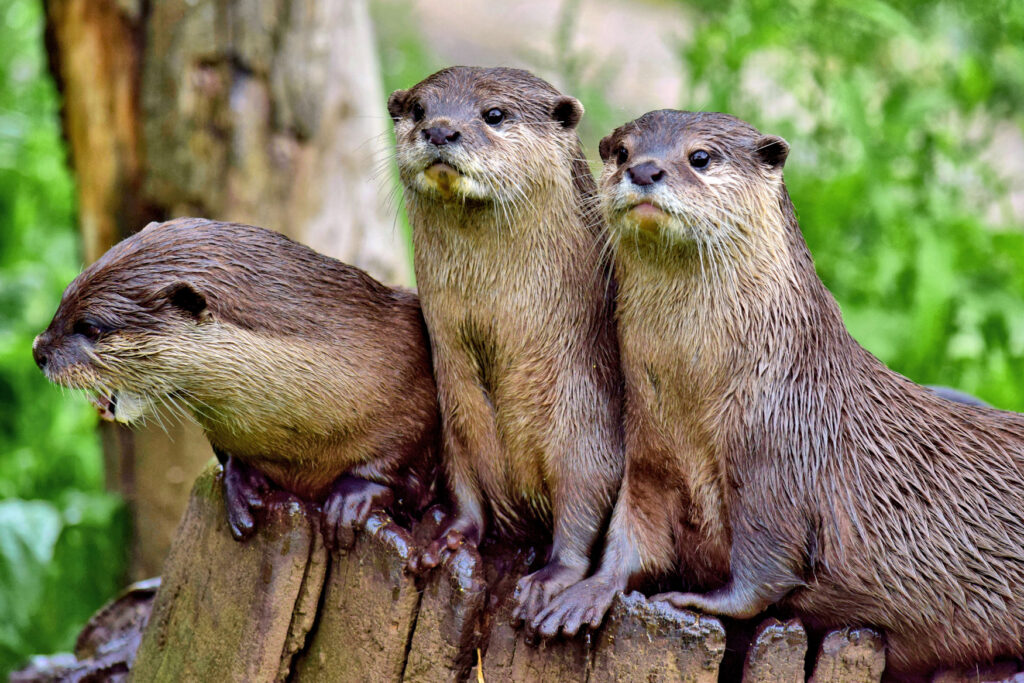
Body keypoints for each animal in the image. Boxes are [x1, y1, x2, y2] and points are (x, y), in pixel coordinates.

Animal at [33, 218, 439, 548]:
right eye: (64, 298)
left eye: (91, 327)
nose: (39, 351)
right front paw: (240, 484)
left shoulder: (413, 386)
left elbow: (405, 454)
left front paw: (350, 498)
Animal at [387, 66, 623, 620]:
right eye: (420, 109)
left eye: (494, 114)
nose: (441, 130)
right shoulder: (456, 414)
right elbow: (464, 485)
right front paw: (448, 538)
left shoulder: (586, 419)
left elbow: (585, 499)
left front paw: (551, 579)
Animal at [533, 110, 1024, 677]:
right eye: (621, 152)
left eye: (700, 157)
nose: (645, 169)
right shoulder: (649, 458)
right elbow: (631, 537)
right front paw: (582, 594)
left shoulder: (778, 455)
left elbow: (764, 567)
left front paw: (694, 600)